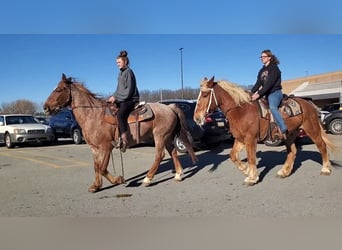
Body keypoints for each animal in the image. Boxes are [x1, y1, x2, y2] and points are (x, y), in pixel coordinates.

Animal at [44, 73, 196, 192]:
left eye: (59, 89)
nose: (45, 107)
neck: (93, 115)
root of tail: (169, 107)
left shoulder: (106, 146)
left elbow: (102, 168)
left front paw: (119, 179)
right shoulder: (95, 148)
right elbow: (96, 166)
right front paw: (96, 185)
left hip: (160, 136)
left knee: (160, 155)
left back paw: (147, 179)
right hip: (167, 137)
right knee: (173, 152)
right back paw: (178, 175)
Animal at [194, 76, 336, 186]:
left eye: (205, 95)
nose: (197, 118)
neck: (240, 110)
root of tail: (309, 104)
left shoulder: (250, 139)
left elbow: (251, 158)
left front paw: (252, 178)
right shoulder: (240, 139)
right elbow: (233, 156)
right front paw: (246, 170)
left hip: (311, 129)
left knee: (322, 146)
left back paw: (325, 169)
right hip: (290, 134)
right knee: (292, 151)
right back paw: (284, 172)